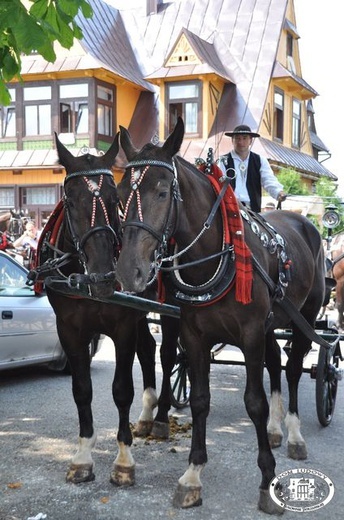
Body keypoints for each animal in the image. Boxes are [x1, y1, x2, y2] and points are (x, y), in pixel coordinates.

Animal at [33, 136, 177, 486]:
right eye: (70, 201)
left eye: (114, 200)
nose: (102, 274)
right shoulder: (69, 330)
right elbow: (82, 390)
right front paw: (83, 456)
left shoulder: (122, 326)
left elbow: (121, 390)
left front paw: (123, 460)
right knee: (148, 349)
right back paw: (147, 414)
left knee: (167, 355)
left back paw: (161, 416)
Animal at [115, 120, 326, 512]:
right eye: (121, 192)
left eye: (163, 192)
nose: (128, 270)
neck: (215, 253)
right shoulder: (195, 335)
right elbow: (200, 400)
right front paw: (192, 474)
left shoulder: (250, 333)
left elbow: (255, 402)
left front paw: (267, 480)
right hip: (272, 324)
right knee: (276, 362)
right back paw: (276, 429)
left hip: (303, 317)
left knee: (291, 370)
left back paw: (292, 434)